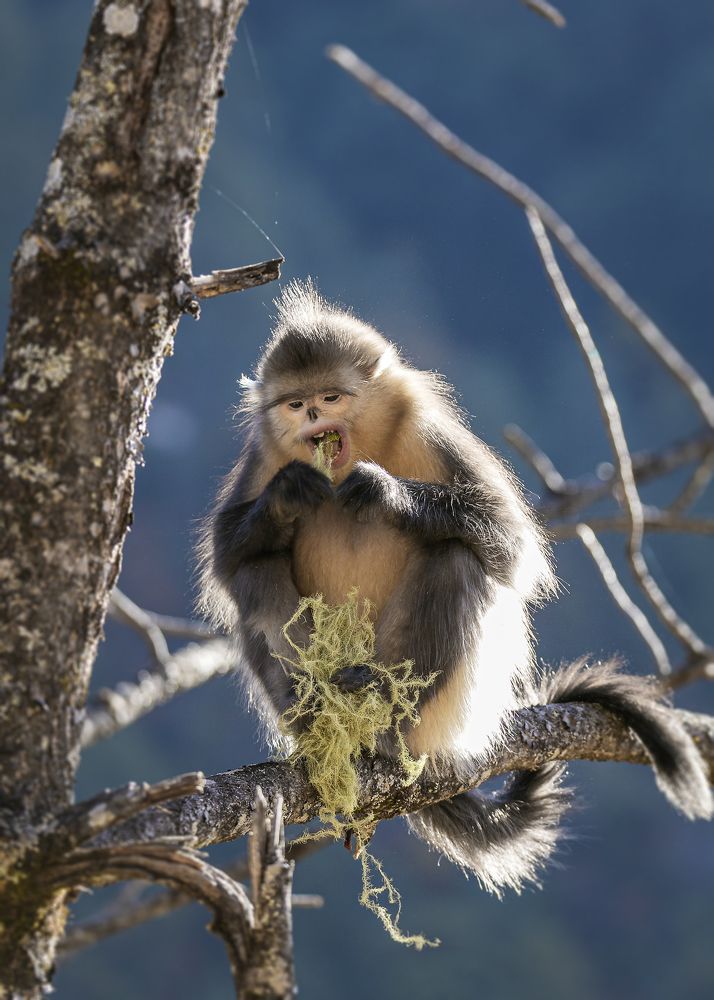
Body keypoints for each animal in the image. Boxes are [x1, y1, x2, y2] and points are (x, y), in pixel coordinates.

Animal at [198, 279, 712, 895]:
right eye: (297, 404)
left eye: (331, 395)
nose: (314, 414)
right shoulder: (267, 448)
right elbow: (225, 557)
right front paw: (287, 495)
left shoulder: (426, 426)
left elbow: (511, 543)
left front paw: (387, 494)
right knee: (253, 571)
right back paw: (319, 713)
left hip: (443, 709)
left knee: (457, 560)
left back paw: (379, 706)